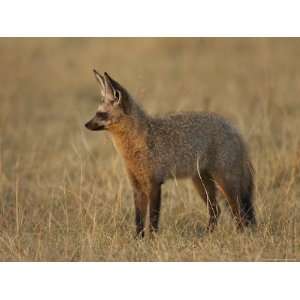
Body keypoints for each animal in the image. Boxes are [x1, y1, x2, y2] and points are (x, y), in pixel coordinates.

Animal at [84, 69, 255, 238]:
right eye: (96, 113)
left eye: (101, 114)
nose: (85, 124)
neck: (135, 146)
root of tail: (235, 129)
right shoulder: (137, 187)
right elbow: (139, 220)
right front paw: (138, 240)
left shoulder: (154, 183)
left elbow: (153, 219)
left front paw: (152, 240)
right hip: (201, 183)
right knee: (216, 210)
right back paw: (207, 236)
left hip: (225, 184)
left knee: (238, 212)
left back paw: (239, 236)